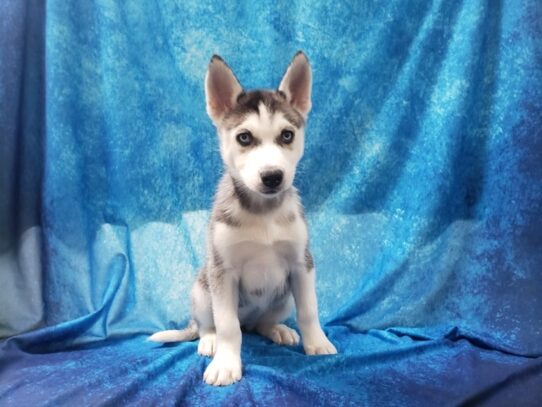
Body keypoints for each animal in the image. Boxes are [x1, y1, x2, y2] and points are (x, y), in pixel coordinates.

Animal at [149, 51, 336, 386]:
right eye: (245, 138)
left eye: (287, 135)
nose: (272, 177)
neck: (263, 212)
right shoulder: (223, 272)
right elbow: (228, 327)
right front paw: (226, 363)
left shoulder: (302, 264)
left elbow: (309, 311)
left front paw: (317, 343)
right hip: (202, 289)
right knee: (213, 324)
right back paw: (209, 341)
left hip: (283, 297)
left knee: (261, 323)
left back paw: (277, 329)